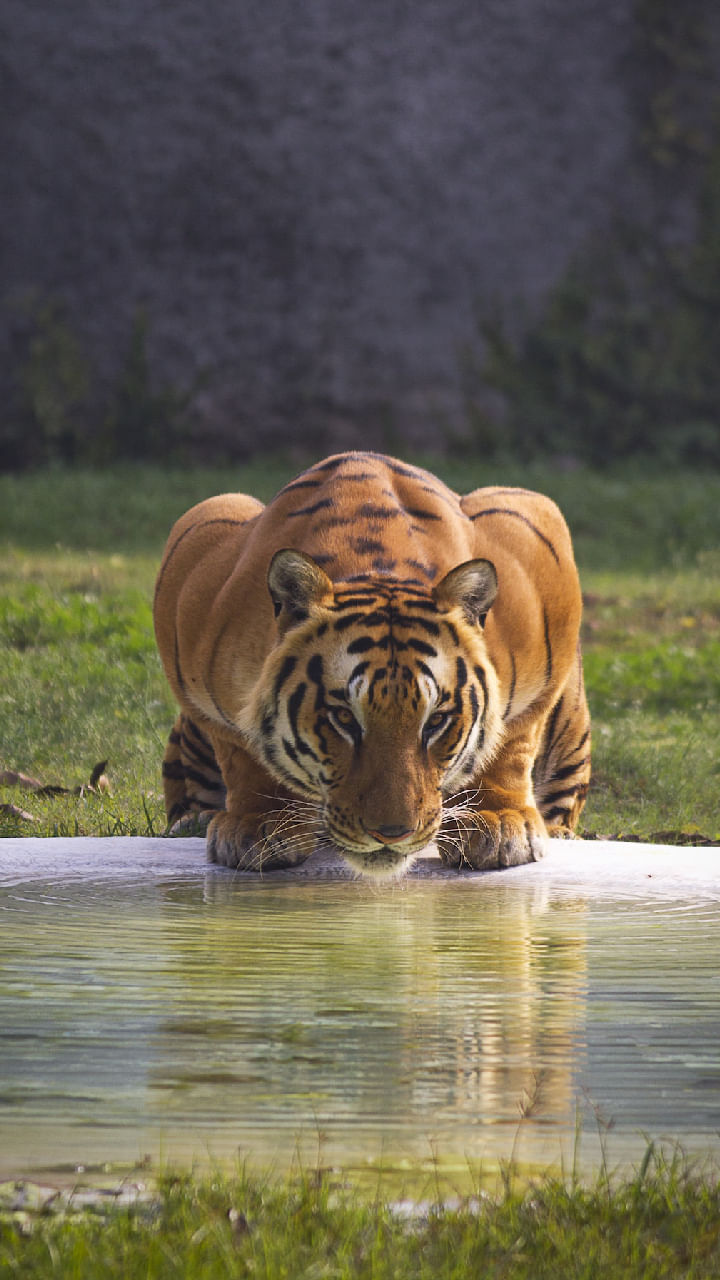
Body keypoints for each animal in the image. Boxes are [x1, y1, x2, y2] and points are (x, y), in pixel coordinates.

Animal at [153, 451, 590, 879]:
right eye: (344, 718)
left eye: (436, 721)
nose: (392, 834)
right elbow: (241, 751)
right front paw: (258, 823)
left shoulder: (537, 543)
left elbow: (512, 740)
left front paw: (498, 822)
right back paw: (194, 820)